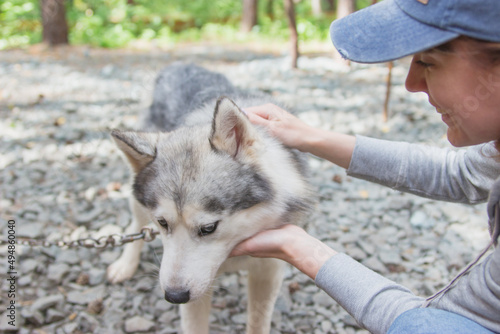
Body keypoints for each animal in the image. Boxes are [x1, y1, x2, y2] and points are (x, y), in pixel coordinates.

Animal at [108, 63, 312, 334]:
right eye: (162, 223)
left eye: (208, 228)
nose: (173, 296)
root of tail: (180, 65)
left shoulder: (268, 271)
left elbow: (258, 322)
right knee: (137, 225)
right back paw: (125, 265)